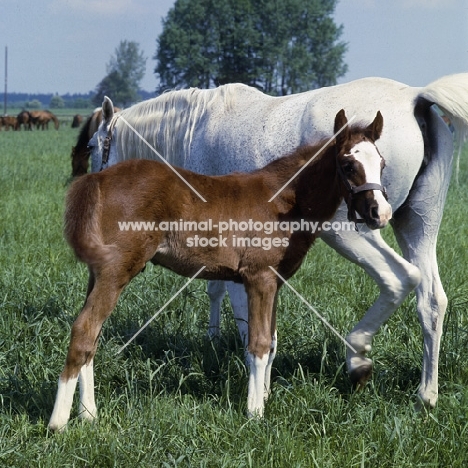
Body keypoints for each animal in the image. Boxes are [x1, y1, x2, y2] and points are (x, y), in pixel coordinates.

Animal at [88, 72, 468, 410]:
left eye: (91, 145)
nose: (94, 186)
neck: (197, 127)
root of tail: (414, 97)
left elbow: (246, 320)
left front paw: (258, 389)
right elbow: (225, 296)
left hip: (350, 230)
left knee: (398, 278)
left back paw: (358, 358)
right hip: (417, 225)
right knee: (431, 300)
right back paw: (425, 395)